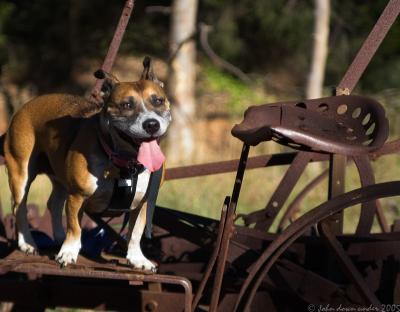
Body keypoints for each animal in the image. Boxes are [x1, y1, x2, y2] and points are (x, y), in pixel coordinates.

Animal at [0, 56, 170, 270]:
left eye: (158, 101)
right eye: (126, 105)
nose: (151, 124)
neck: (125, 163)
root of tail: (25, 106)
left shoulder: (143, 202)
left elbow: (135, 233)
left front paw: (137, 258)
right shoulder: (77, 197)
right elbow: (75, 227)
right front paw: (68, 253)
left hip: (61, 179)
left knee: (54, 204)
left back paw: (59, 238)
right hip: (21, 173)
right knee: (20, 208)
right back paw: (28, 244)